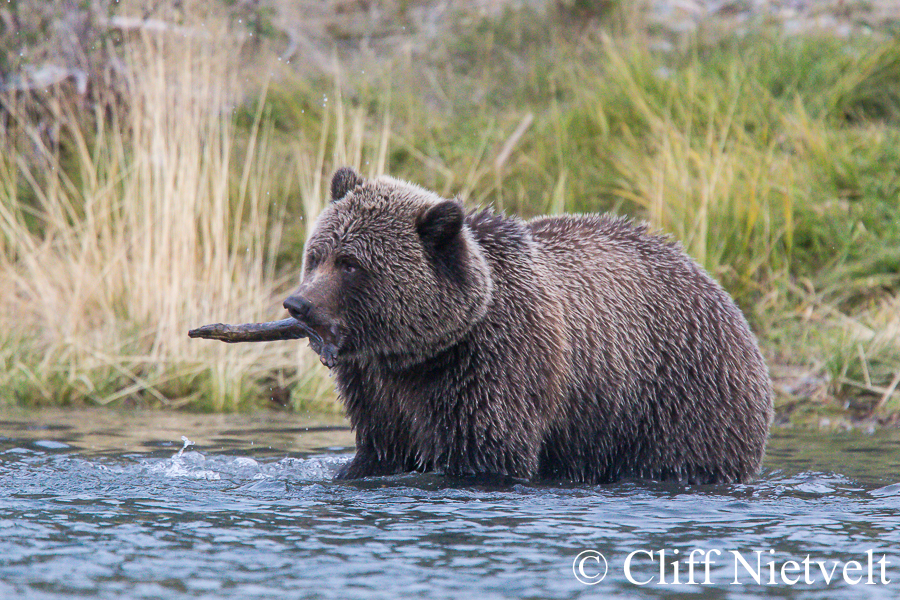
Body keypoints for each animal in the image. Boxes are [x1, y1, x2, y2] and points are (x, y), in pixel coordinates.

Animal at [286, 166, 772, 486]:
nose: (298, 304)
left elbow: (486, 455)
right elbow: (378, 450)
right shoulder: (378, 391)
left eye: (350, 264)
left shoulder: (493, 366)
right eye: (317, 254)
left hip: (677, 398)